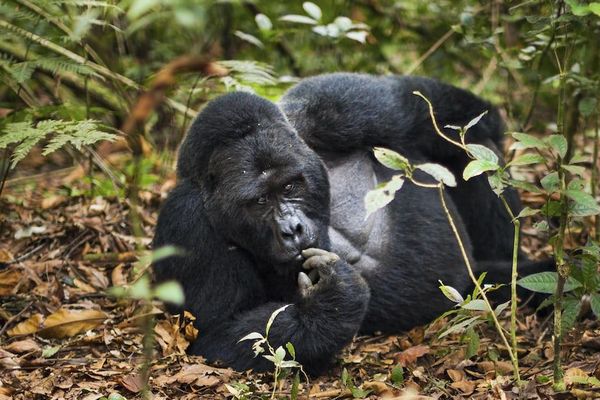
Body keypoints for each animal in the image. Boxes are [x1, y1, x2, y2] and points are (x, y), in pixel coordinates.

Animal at [152, 72, 552, 376]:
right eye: (260, 201)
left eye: (290, 186)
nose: (292, 229)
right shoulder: (187, 223)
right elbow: (217, 334)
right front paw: (331, 304)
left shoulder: (332, 107)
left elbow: (438, 111)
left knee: (472, 146)